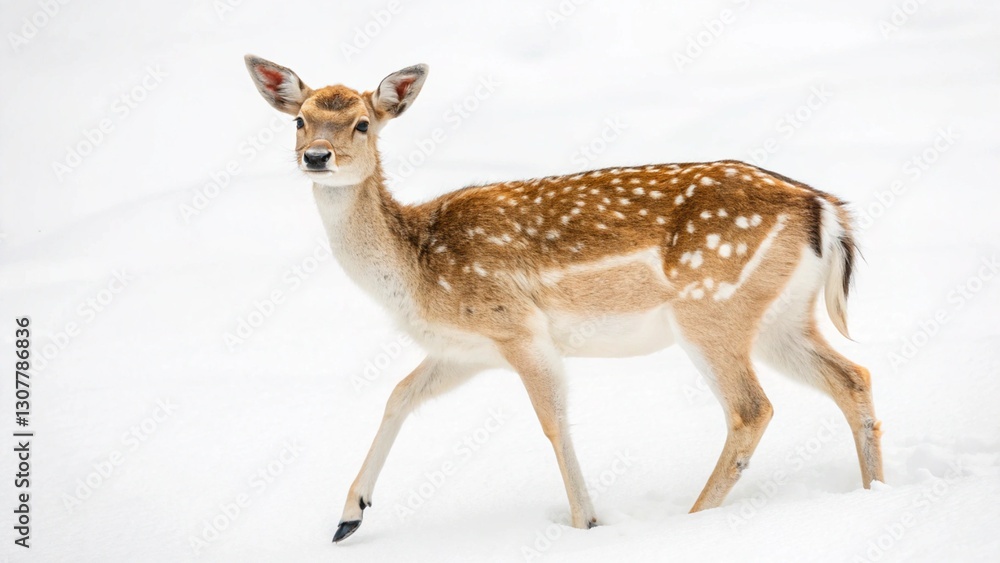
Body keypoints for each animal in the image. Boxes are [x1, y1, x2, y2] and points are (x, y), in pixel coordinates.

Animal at [244, 55, 884, 543]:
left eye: (361, 124)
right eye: (298, 120)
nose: (316, 157)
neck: (415, 269)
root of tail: (825, 210)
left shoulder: (518, 329)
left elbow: (552, 421)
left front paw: (586, 523)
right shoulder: (464, 349)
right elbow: (399, 395)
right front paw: (348, 518)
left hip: (711, 308)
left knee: (752, 408)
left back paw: (692, 518)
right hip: (781, 316)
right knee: (851, 376)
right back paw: (873, 489)